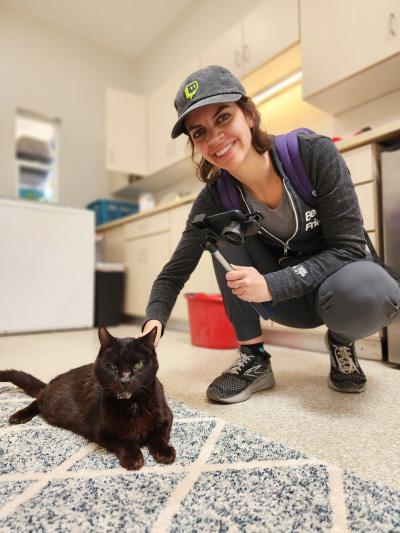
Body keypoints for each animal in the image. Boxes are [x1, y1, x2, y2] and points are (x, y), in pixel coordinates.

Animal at [0, 324, 175, 470]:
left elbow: (159, 435)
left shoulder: (167, 416)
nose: (125, 380)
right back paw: (19, 416)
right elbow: (123, 442)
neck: (133, 404)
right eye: (113, 365)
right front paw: (134, 457)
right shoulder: (102, 431)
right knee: (38, 400)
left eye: (138, 364)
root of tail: (54, 380)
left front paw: (165, 452)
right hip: (52, 403)